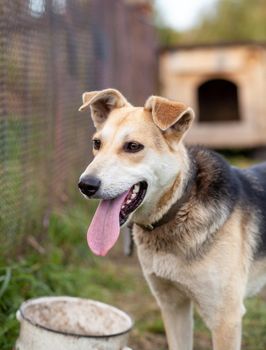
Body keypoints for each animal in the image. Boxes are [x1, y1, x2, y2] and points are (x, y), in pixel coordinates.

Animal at [78, 88, 266, 350]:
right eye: (97, 143)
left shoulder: (225, 319)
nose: (86, 185)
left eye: (133, 146)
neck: (179, 207)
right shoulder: (172, 305)